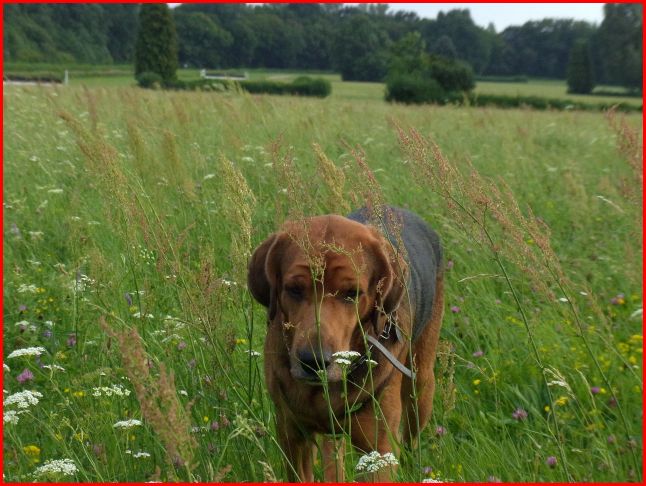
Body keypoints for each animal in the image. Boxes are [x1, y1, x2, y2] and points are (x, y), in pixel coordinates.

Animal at [249, 206, 446, 482]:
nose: (314, 361)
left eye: (352, 294)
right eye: (294, 289)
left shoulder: (379, 453)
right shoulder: (293, 436)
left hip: (422, 387)